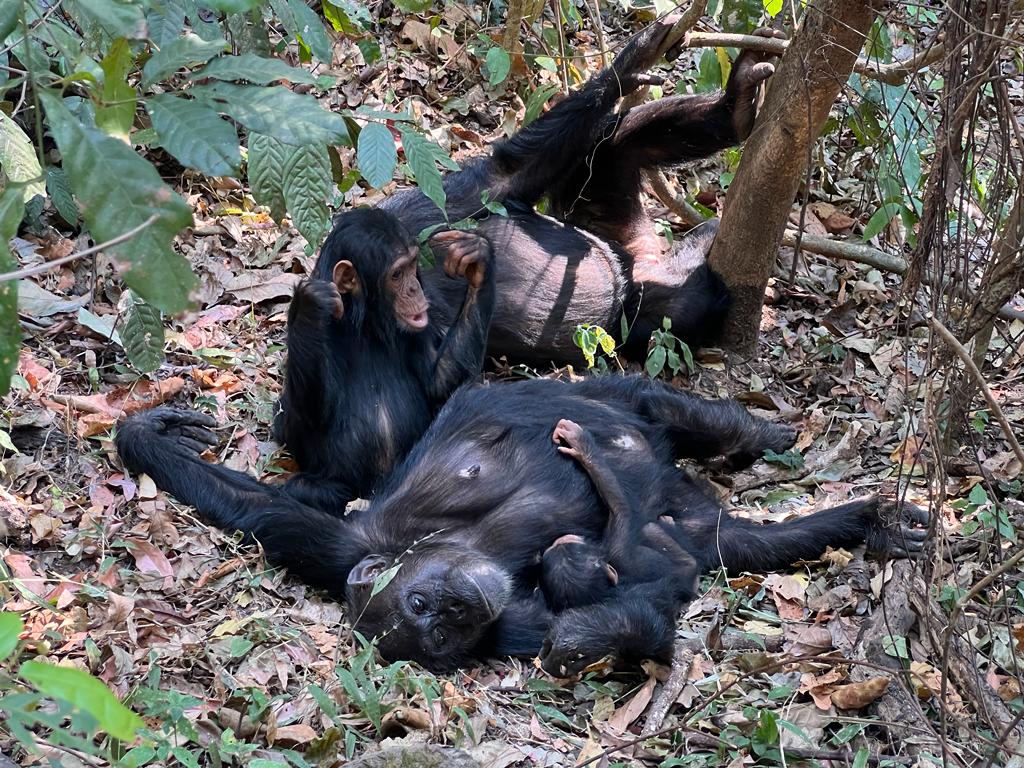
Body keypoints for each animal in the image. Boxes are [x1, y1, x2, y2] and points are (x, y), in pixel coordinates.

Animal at [270, 208, 493, 512]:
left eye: (412, 266)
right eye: (397, 274)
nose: (414, 289)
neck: (366, 325)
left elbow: (438, 383)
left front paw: (477, 258)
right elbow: (298, 420)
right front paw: (309, 303)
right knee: (304, 488)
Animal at [540, 421, 700, 614]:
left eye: (564, 541)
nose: (564, 537)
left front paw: (577, 443)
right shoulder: (617, 547)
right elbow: (620, 507)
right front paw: (582, 444)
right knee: (650, 529)